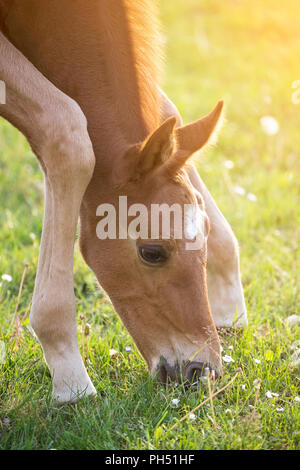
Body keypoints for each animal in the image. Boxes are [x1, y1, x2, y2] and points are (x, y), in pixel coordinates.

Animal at [0, 0, 246, 404]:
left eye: (206, 232)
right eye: (152, 252)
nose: (202, 371)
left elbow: (167, 109)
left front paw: (231, 308)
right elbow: (66, 129)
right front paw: (70, 379)